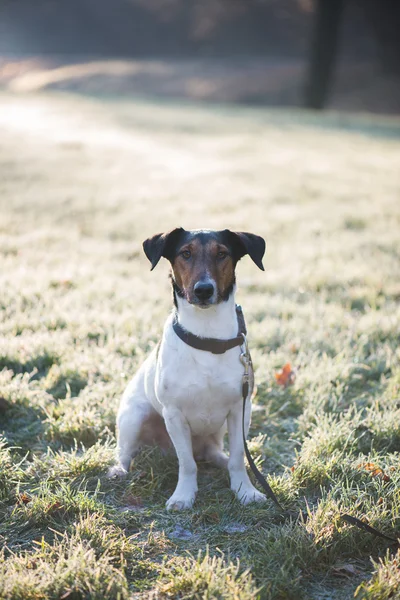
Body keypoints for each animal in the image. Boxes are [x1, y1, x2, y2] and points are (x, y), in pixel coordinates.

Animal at [108, 227, 268, 508]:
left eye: (222, 253)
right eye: (185, 253)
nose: (203, 290)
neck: (207, 338)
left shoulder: (240, 411)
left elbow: (238, 457)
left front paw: (245, 490)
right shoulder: (174, 415)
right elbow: (187, 463)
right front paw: (183, 495)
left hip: (218, 430)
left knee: (214, 452)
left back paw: (221, 461)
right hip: (134, 417)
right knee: (126, 451)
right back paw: (119, 470)